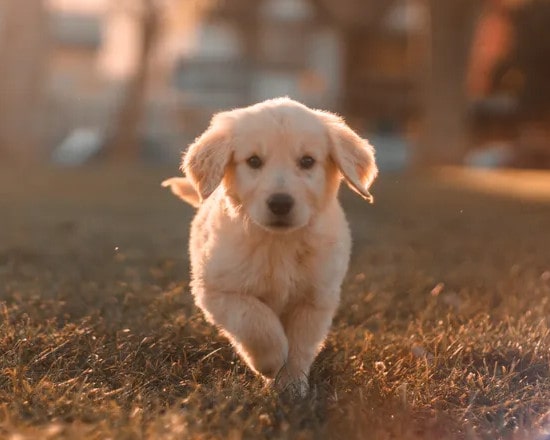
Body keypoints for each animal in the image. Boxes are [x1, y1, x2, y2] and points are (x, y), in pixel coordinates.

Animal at [163, 97, 380, 396]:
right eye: (254, 161)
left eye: (307, 161)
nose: (280, 203)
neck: (279, 243)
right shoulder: (218, 290)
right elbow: (255, 320)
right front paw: (271, 362)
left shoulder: (315, 299)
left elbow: (300, 346)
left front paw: (291, 385)